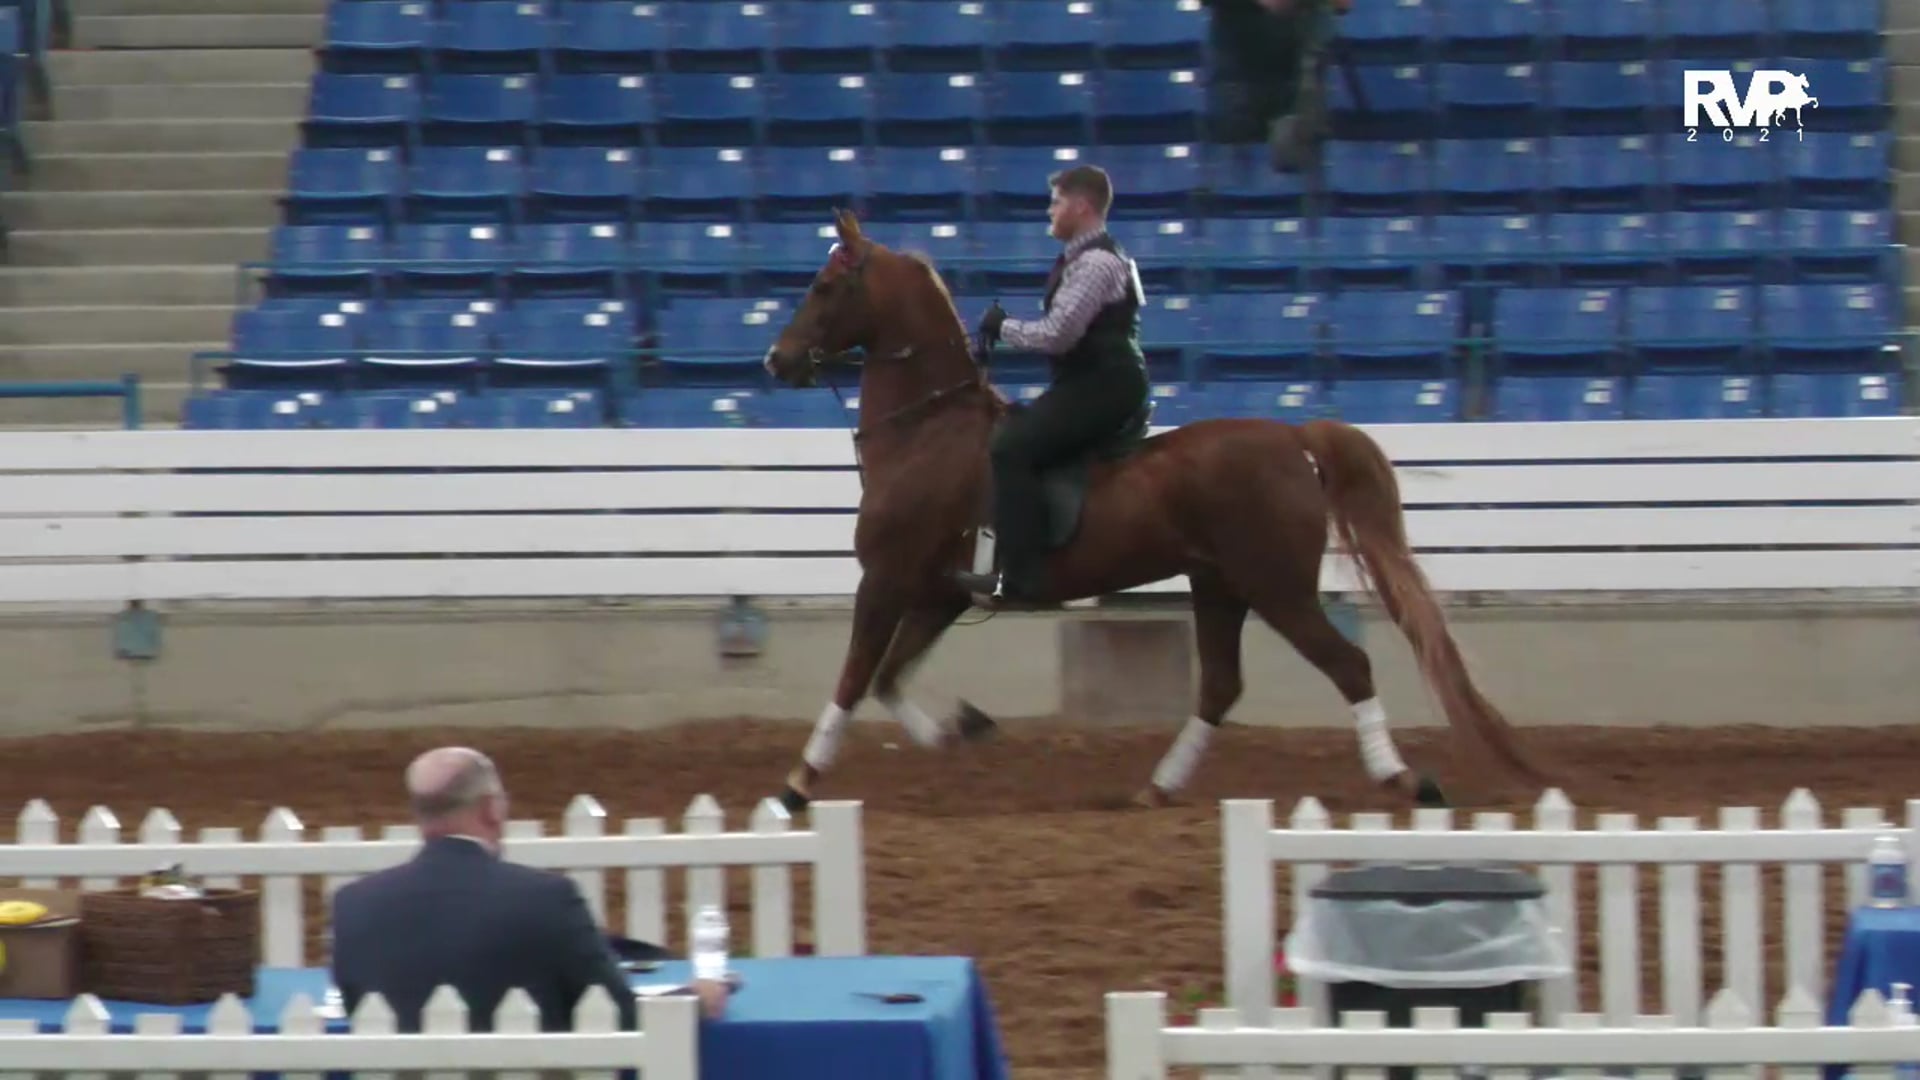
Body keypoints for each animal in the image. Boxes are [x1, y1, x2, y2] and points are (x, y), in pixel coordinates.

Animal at [757, 208, 1547, 812]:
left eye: (825, 284)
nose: (775, 360)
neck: (927, 429)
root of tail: (1292, 437)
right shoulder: (937, 595)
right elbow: (888, 679)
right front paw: (960, 730)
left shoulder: (885, 581)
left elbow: (854, 679)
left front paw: (796, 786)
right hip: (1220, 587)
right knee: (1222, 686)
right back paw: (1158, 788)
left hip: (1277, 589)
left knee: (1347, 666)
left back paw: (1406, 780)